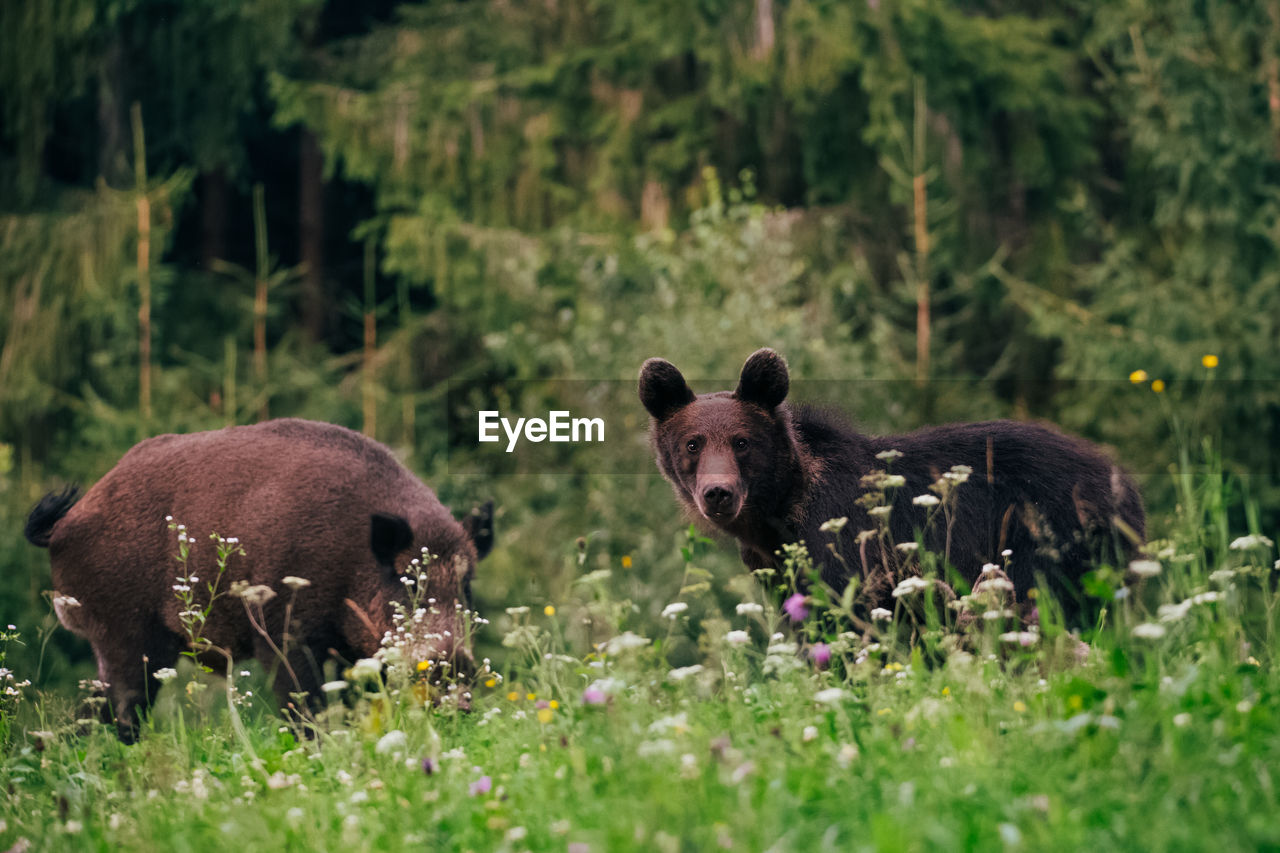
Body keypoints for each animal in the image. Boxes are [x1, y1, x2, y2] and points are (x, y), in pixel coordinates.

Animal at [26, 417, 494, 737]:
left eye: (466, 584)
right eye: (408, 581)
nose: (457, 666)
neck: (353, 560)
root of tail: (64, 526)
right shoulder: (281, 629)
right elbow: (302, 701)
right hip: (126, 634)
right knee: (121, 712)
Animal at [634, 345, 1146, 617]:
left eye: (741, 441)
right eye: (693, 443)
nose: (718, 493)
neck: (778, 512)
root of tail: (1121, 476)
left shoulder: (846, 541)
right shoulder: (771, 563)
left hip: (1056, 536)